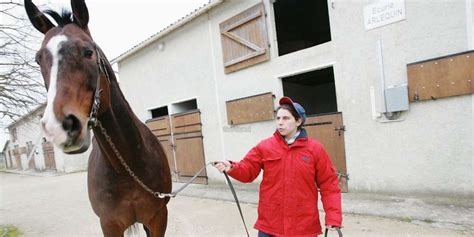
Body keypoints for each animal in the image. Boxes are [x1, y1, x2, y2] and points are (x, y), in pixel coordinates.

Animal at [24, 0, 172, 236]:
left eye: (88, 52)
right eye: (38, 60)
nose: (60, 127)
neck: (127, 169)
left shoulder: (158, 219)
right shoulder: (109, 224)